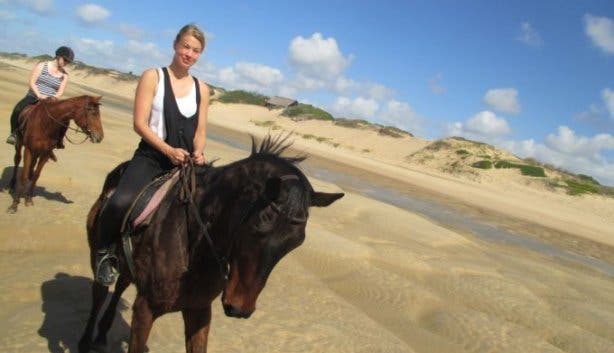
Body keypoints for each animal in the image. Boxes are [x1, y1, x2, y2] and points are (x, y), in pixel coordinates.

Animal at [79, 135, 344, 352]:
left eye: (295, 243)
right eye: (259, 226)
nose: (240, 308)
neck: (194, 246)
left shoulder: (199, 311)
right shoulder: (145, 309)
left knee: (121, 284)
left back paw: (101, 334)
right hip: (98, 256)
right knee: (99, 292)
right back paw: (86, 339)